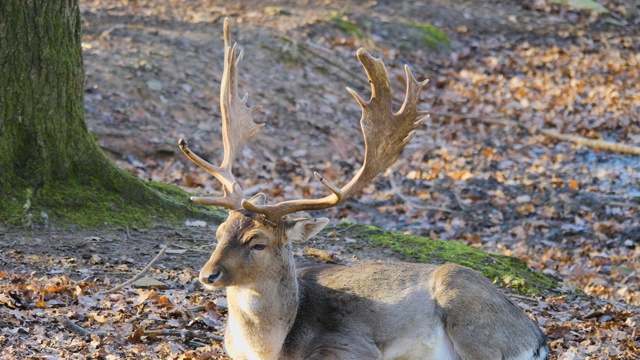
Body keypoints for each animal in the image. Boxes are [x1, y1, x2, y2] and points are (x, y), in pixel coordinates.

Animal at [178, 19, 548, 360]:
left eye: (258, 243)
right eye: (219, 232)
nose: (208, 274)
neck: (270, 348)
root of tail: (537, 338)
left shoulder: (352, 344)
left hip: (469, 314)